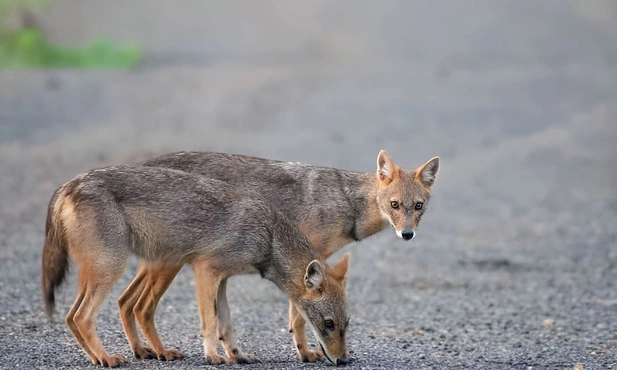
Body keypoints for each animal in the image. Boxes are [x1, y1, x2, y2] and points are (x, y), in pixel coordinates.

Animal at [42, 165, 352, 368]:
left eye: (346, 324)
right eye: (328, 323)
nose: (343, 361)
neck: (268, 235)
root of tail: (68, 185)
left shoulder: (223, 279)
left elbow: (226, 323)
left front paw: (237, 355)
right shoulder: (206, 270)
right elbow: (210, 322)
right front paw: (213, 357)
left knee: (71, 316)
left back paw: (100, 358)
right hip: (115, 268)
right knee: (84, 316)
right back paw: (107, 358)